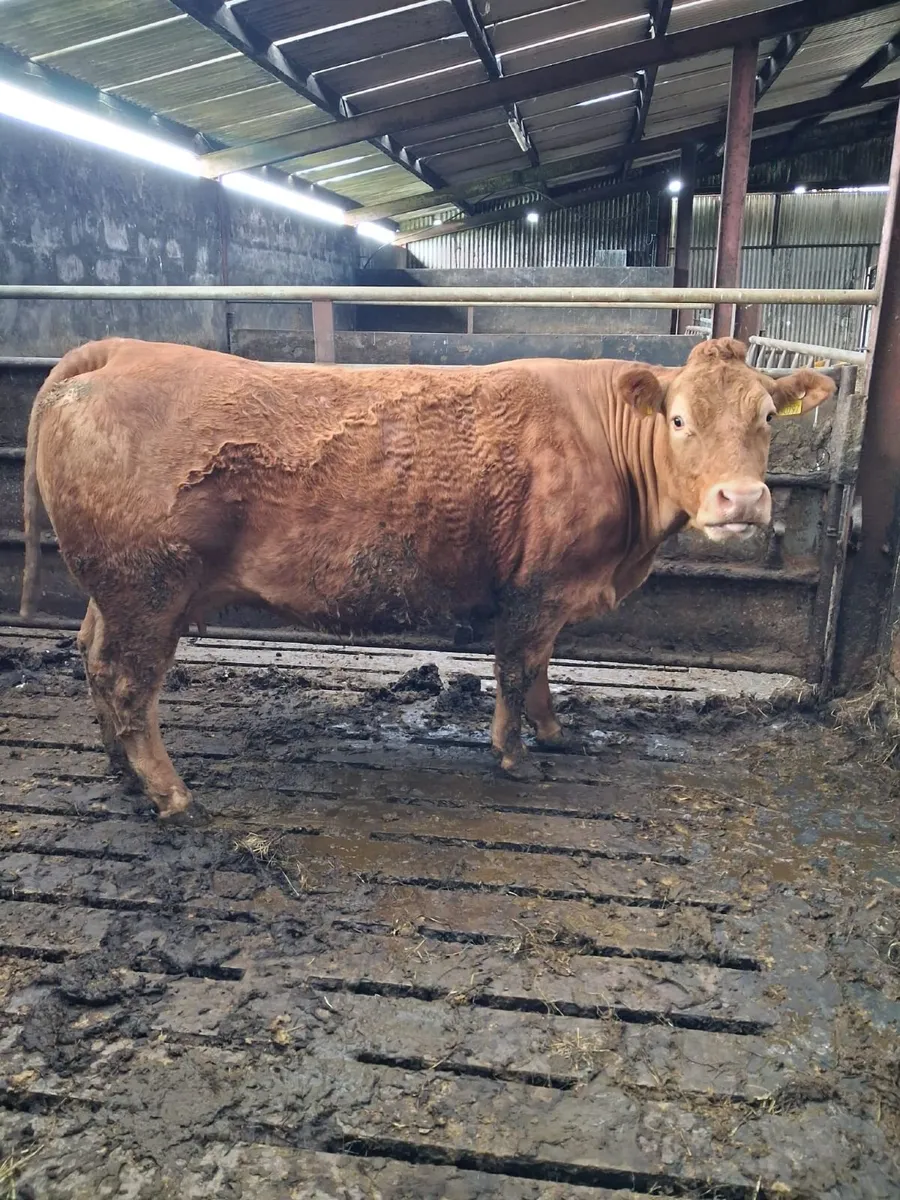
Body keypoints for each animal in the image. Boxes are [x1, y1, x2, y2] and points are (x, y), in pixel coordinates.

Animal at [19, 336, 834, 821]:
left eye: (768, 416)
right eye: (678, 419)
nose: (742, 500)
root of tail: (120, 349)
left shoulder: (552, 594)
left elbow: (543, 669)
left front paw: (555, 734)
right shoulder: (537, 588)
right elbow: (517, 668)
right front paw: (513, 755)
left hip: (114, 590)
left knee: (94, 660)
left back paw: (121, 771)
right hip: (148, 588)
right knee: (130, 685)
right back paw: (171, 793)